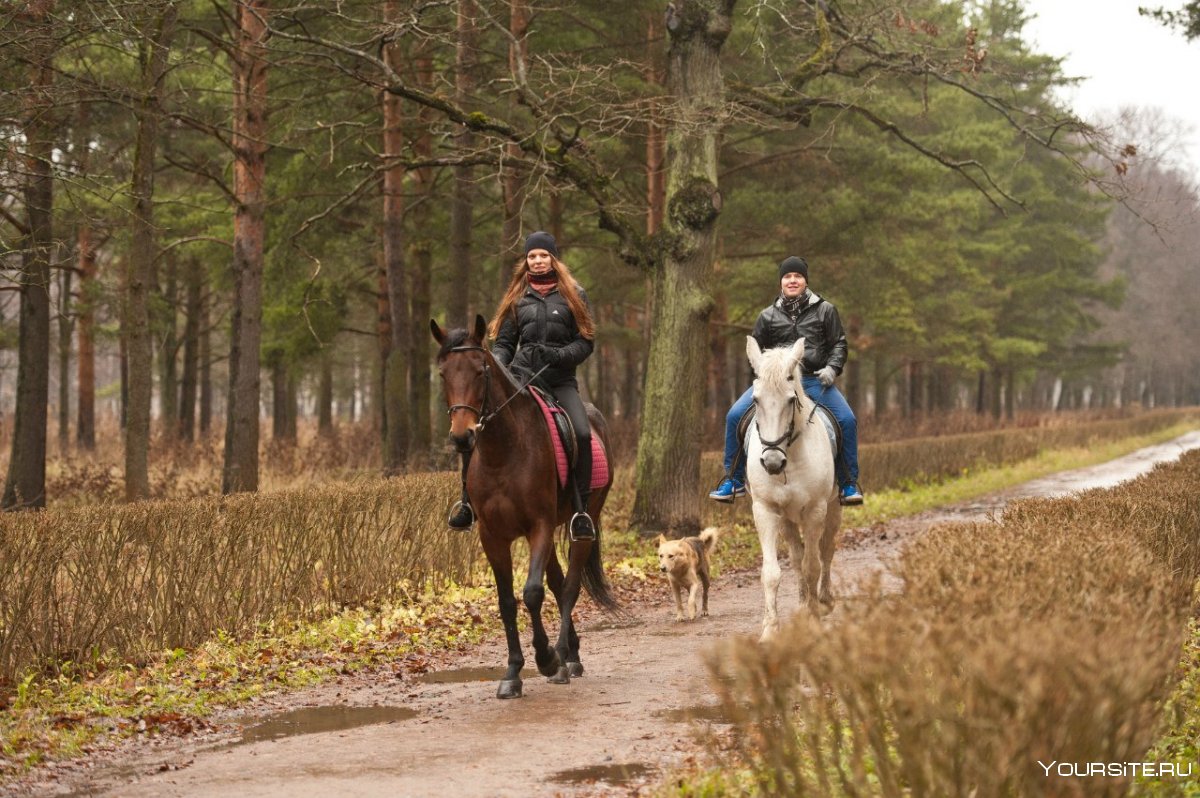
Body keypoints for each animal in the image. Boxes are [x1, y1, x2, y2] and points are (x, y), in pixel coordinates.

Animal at [432, 312, 619, 696]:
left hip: (585, 522)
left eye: (480, 370)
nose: (462, 437)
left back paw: (563, 659)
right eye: (443, 373)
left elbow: (532, 593)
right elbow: (506, 602)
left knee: (570, 586)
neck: (504, 451)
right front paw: (512, 673)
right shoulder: (492, 536)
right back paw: (571, 654)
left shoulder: (539, 526)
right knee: (558, 582)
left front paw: (546, 658)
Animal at [744, 333, 840, 643]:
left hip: (833, 509)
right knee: (797, 559)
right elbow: (772, 572)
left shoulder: (815, 510)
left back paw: (823, 601)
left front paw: (815, 619)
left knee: (825, 551)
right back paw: (802, 604)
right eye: (756, 399)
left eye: (790, 400)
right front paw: (769, 630)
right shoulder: (765, 510)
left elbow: (813, 565)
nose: (772, 463)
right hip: (786, 518)